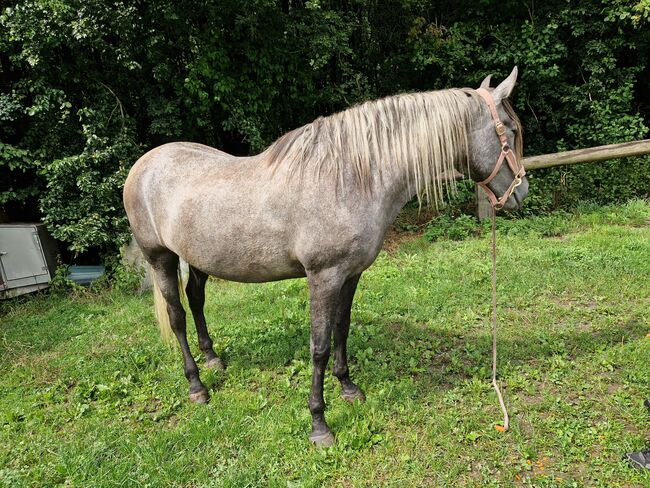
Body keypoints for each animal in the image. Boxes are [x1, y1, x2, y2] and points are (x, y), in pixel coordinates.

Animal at [123, 68, 528, 446]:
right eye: (510, 129)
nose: (520, 192)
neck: (349, 177)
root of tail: (143, 165)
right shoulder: (323, 276)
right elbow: (318, 346)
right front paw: (319, 424)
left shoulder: (350, 274)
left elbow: (341, 329)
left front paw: (348, 388)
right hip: (161, 258)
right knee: (176, 317)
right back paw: (197, 385)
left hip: (198, 260)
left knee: (196, 300)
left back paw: (213, 360)